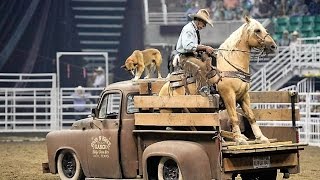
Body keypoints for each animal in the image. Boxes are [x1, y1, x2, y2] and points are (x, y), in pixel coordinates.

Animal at [159, 16, 278, 145]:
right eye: (257, 30)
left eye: (264, 29)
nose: (273, 46)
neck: (231, 66)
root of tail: (163, 89)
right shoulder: (228, 95)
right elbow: (234, 117)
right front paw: (239, 139)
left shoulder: (244, 96)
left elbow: (251, 116)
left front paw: (261, 138)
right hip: (170, 114)